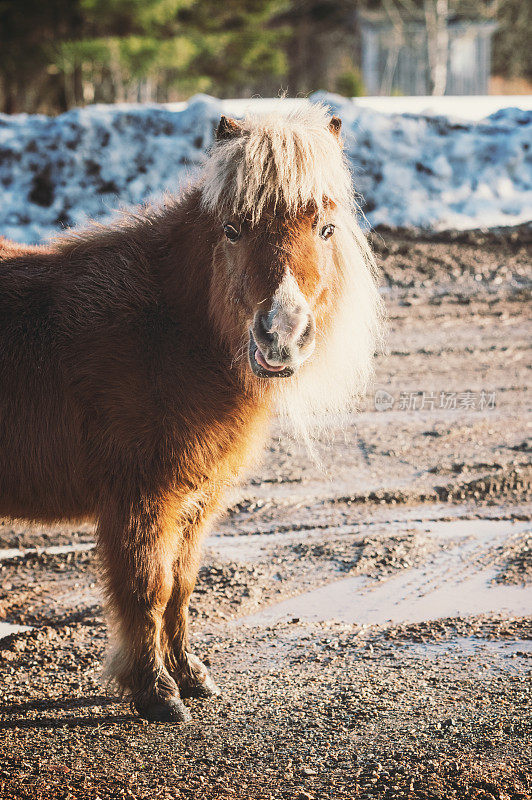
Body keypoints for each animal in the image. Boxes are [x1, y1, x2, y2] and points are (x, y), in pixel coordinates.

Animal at [0, 103, 382, 720]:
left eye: (325, 229)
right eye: (233, 230)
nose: (280, 338)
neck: (163, 331)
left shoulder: (195, 501)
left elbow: (180, 587)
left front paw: (192, 677)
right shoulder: (141, 501)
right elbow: (146, 590)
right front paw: (155, 692)